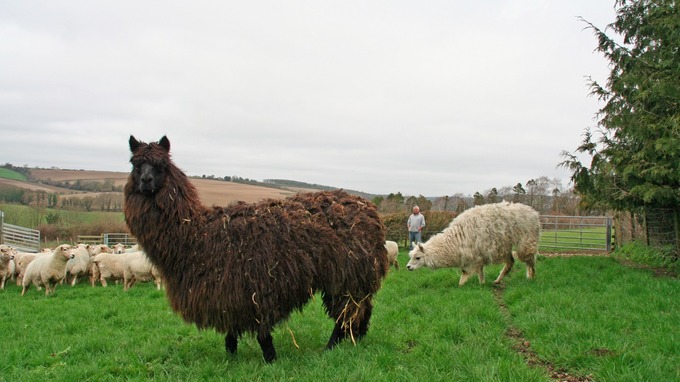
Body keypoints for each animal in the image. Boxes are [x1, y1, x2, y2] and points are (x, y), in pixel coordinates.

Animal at [406, 203, 540, 286]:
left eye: (418, 257)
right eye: (411, 256)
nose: (408, 267)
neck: (456, 240)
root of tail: (533, 212)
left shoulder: (476, 256)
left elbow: (477, 272)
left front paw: (481, 284)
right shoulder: (471, 258)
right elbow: (467, 273)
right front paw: (466, 284)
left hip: (526, 241)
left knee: (530, 260)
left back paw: (531, 277)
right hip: (505, 246)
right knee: (511, 262)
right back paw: (497, 281)